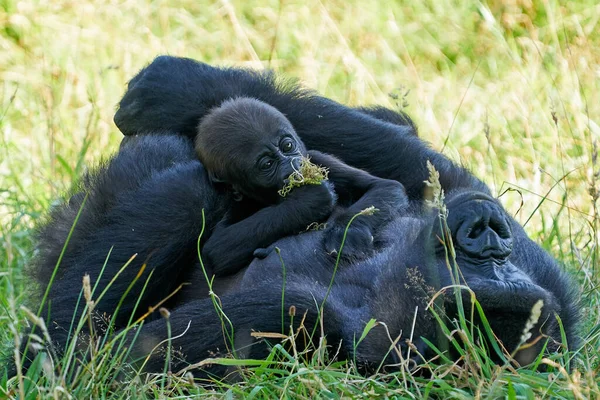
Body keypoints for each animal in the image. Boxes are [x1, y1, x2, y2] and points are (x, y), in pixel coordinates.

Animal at [197, 97, 408, 278]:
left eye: (288, 146)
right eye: (267, 164)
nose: (295, 166)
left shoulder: (317, 158)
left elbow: (384, 186)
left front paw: (348, 233)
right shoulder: (238, 200)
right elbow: (216, 248)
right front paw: (311, 200)